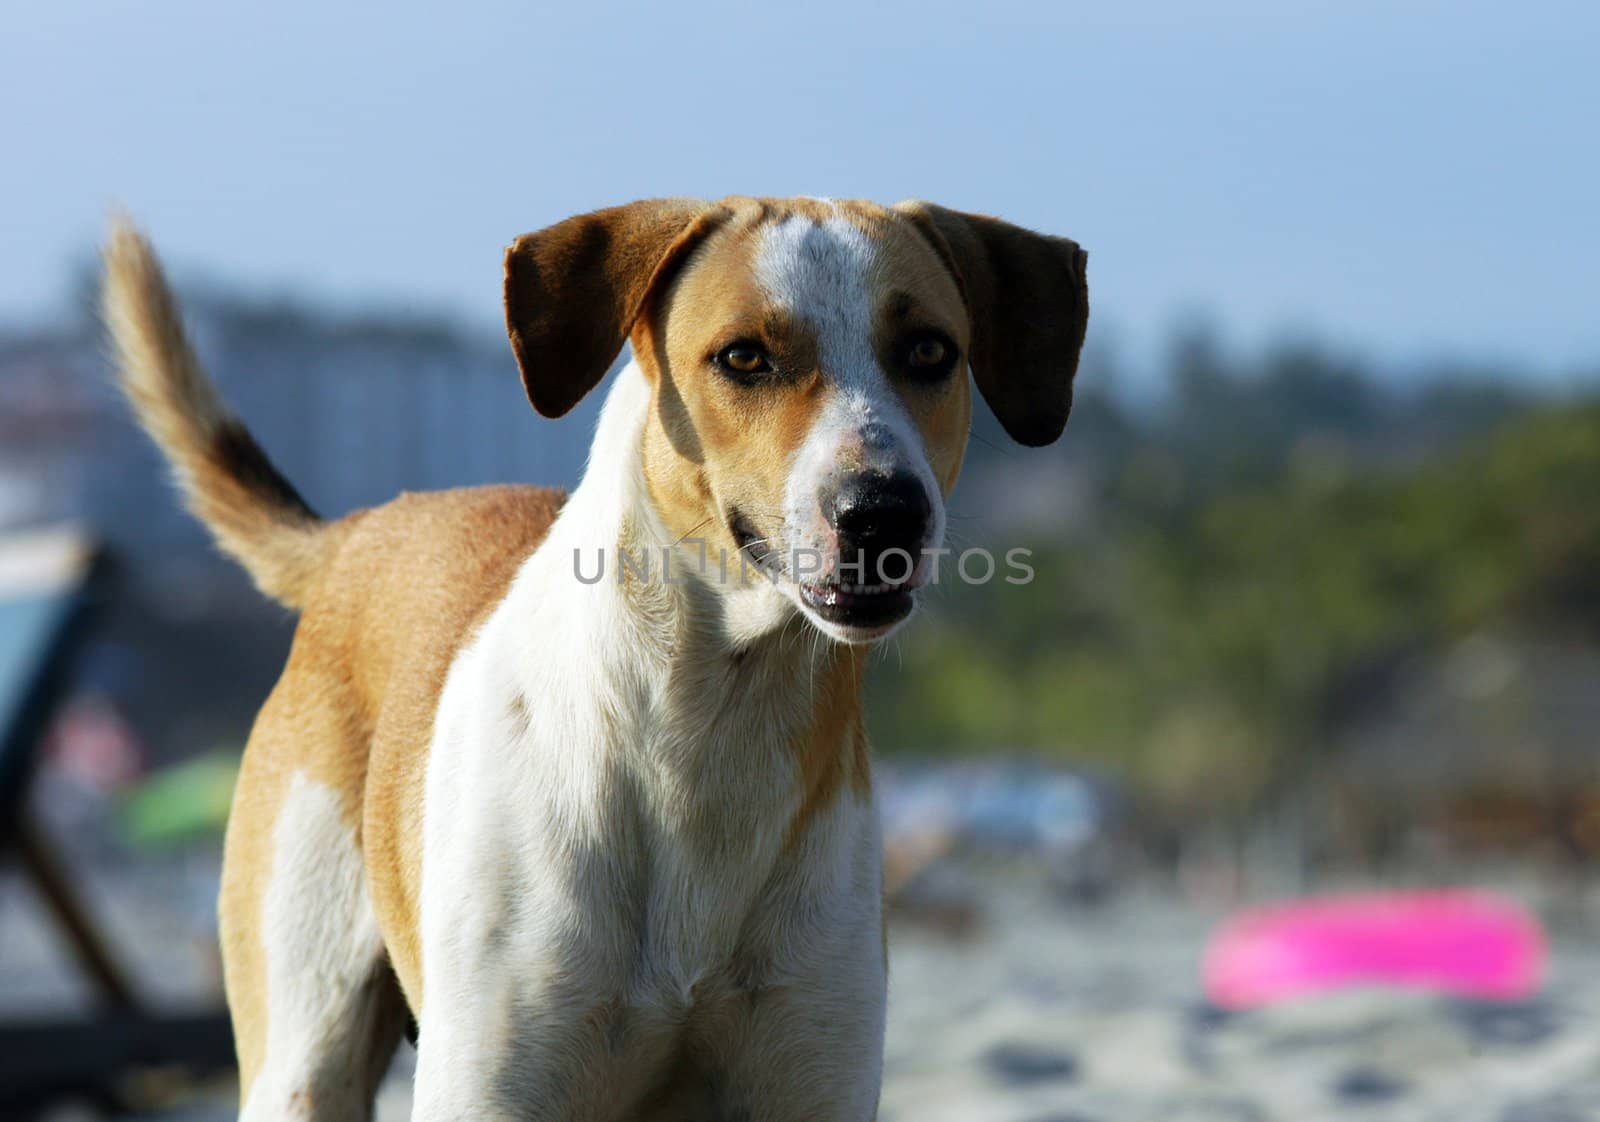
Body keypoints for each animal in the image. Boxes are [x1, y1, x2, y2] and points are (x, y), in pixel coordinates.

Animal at [100, 196, 1088, 1113]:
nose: (883, 510)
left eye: (927, 351)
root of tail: (363, 529)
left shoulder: (814, 1067)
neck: (707, 726)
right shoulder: (492, 1082)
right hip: (305, 1036)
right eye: (744, 358)